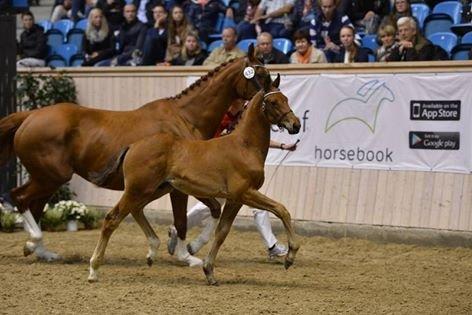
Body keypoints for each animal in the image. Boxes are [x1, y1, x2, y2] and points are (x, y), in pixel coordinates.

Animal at [88, 81, 302, 284]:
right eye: (273, 102)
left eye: (286, 99)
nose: (296, 125)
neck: (244, 145)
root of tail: (133, 145)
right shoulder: (244, 193)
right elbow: (281, 209)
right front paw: (290, 256)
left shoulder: (235, 199)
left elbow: (222, 232)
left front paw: (209, 272)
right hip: (138, 189)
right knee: (112, 218)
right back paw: (94, 270)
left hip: (155, 189)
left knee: (136, 210)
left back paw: (152, 252)